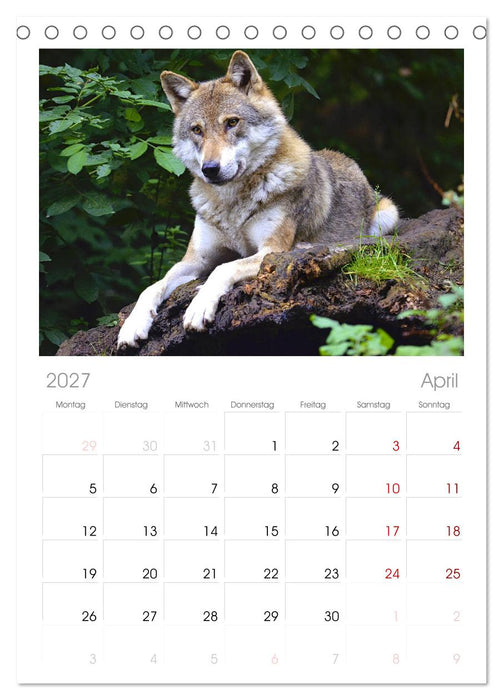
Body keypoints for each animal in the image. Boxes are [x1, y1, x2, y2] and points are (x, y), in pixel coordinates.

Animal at [117, 51, 398, 348]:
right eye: (197, 130)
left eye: (232, 122)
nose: (210, 169)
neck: (232, 205)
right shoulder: (194, 260)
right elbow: (152, 287)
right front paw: (132, 325)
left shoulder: (269, 250)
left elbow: (223, 269)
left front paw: (198, 306)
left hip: (387, 215)